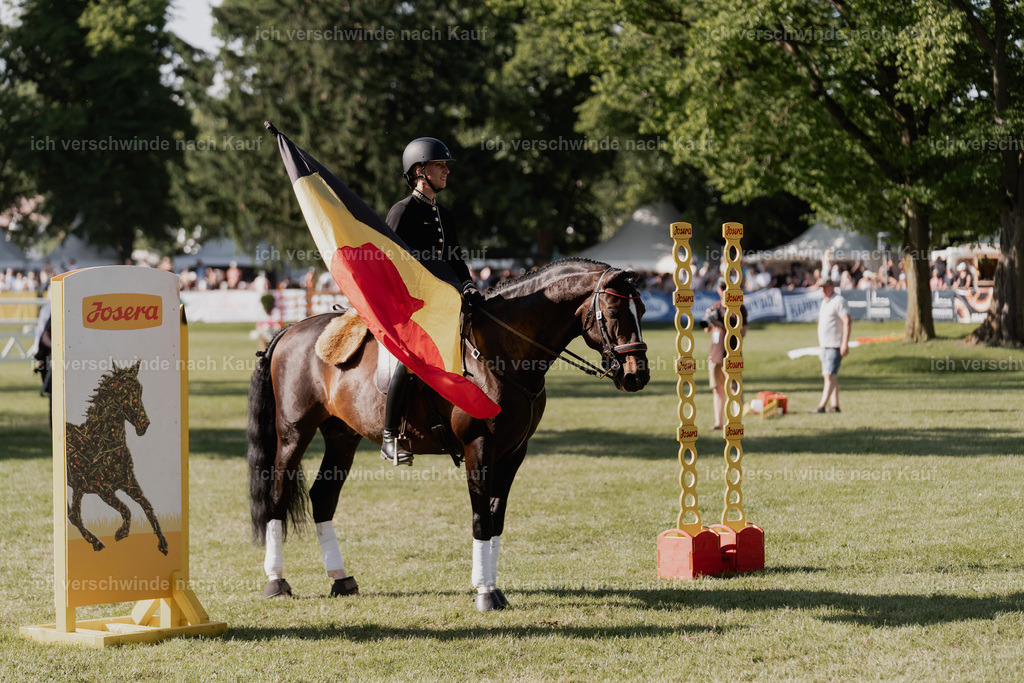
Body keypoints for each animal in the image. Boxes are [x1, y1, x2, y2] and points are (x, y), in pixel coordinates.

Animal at [65, 361, 169, 555]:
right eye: (123, 392)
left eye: (140, 390)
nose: (144, 424)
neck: (100, 443)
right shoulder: (102, 490)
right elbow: (126, 509)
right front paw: (121, 533)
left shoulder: (128, 482)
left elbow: (147, 506)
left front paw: (163, 545)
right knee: (73, 515)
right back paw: (97, 543)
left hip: (78, 488)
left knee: (74, 515)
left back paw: (96, 543)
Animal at [247, 258, 650, 610]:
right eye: (614, 312)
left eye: (643, 311)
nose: (637, 375)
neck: (499, 353)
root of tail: (290, 329)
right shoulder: (479, 447)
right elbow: (480, 517)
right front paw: (485, 592)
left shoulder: (513, 452)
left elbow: (496, 516)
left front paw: (491, 586)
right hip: (294, 433)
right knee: (277, 494)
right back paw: (276, 581)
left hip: (342, 437)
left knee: (323, 497)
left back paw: (341, 579)